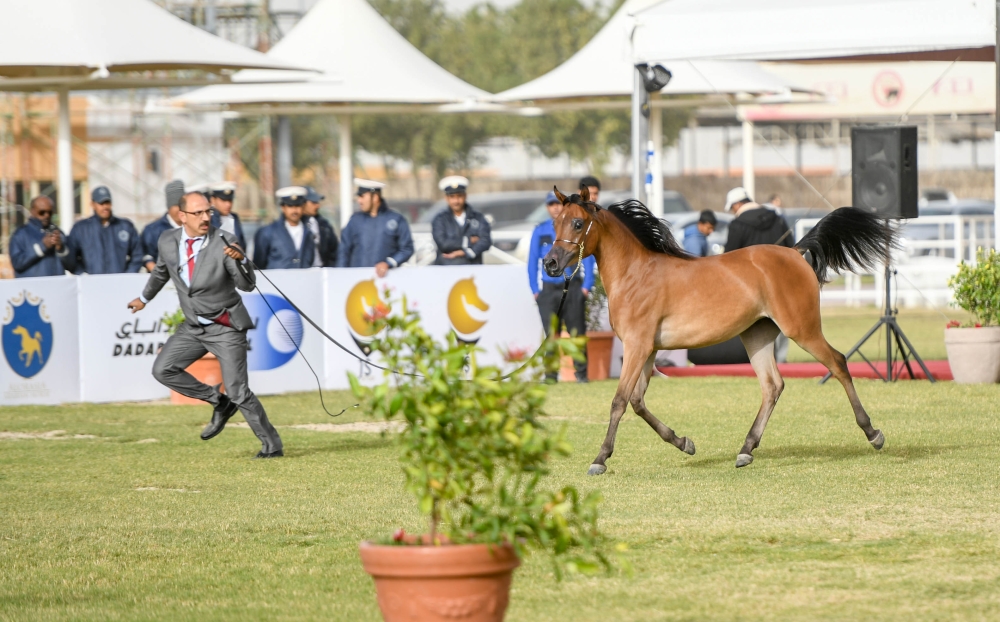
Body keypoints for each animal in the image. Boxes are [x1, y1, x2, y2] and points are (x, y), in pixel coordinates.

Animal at [548, 188, 900, 476]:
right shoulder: (647, 350)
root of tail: (794, 251)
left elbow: (620, 401)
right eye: (555, 223)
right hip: (757, 336)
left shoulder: (638, 347)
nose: (550, 264)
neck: (636, 274)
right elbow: (637, 401)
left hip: (802, 329)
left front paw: (600, 459)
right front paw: (684, 442)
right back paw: (746, 450)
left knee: (838, 363)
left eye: (577, 223)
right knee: (772, 386)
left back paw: (873, 433)